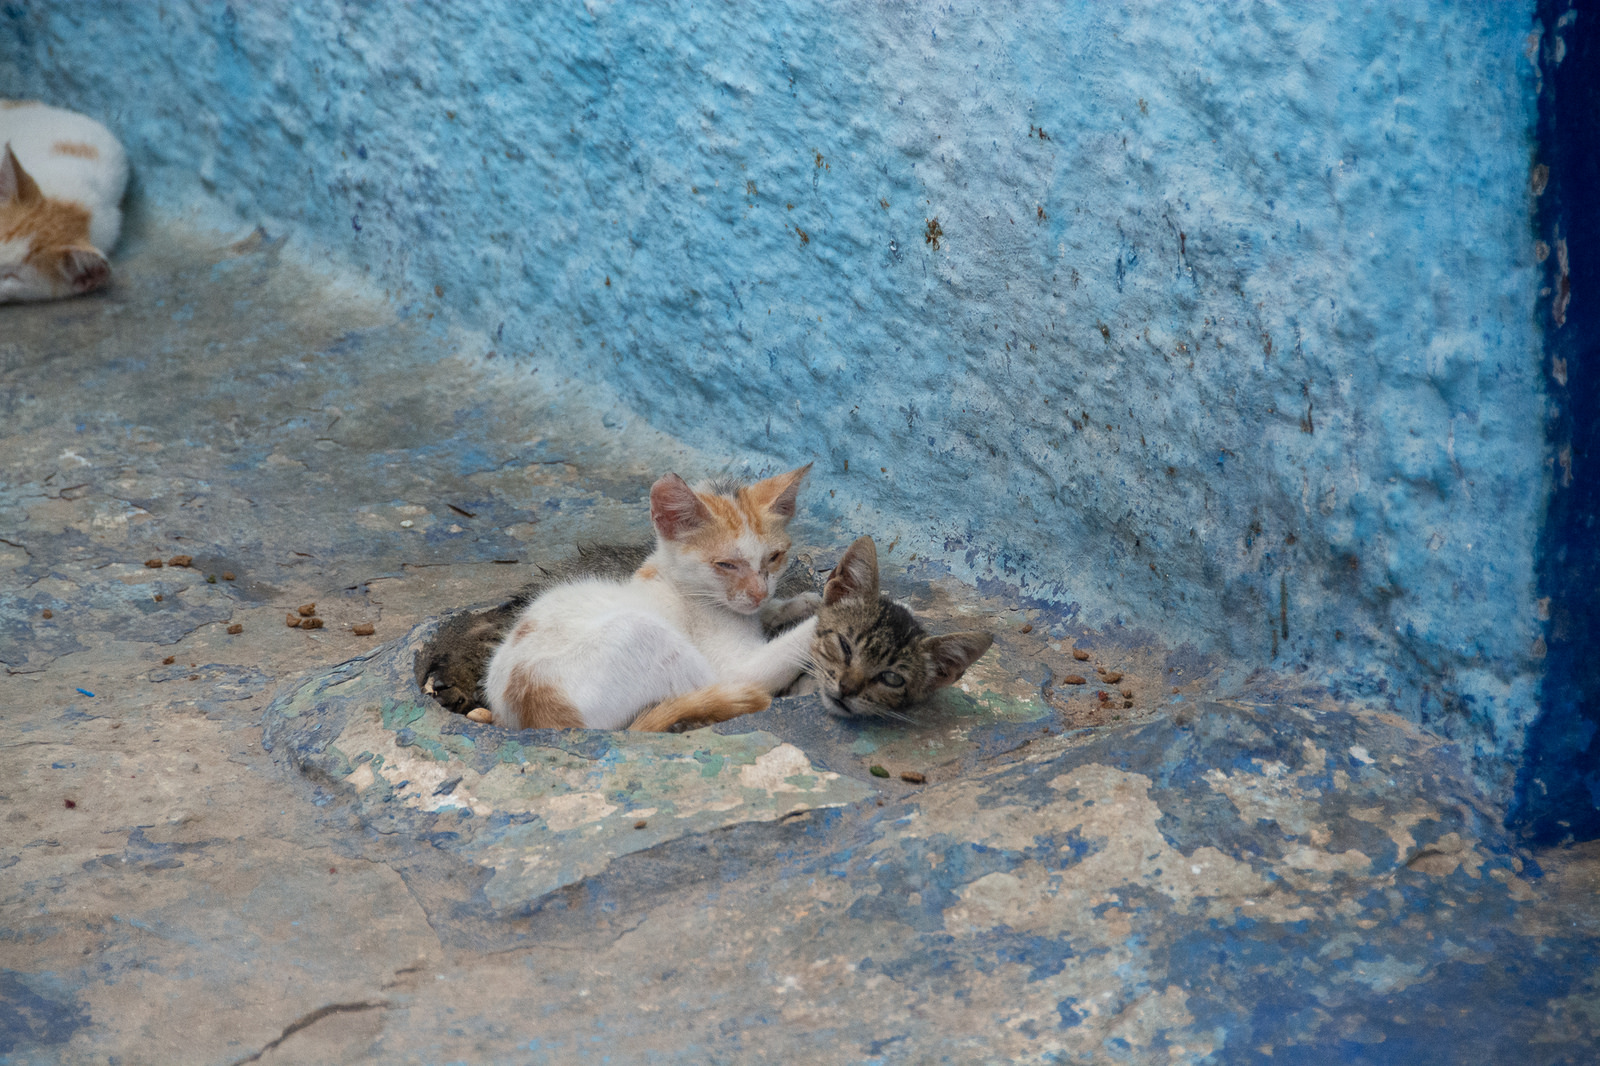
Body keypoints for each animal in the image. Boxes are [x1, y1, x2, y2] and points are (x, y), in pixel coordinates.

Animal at [480, 464, 819, 729]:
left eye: (774, 557)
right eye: (726, 565)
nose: (759, 592)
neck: (680, 585)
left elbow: (767, 612)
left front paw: (797, 603)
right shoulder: (736, 667)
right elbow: (786, 646)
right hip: (644, 634)